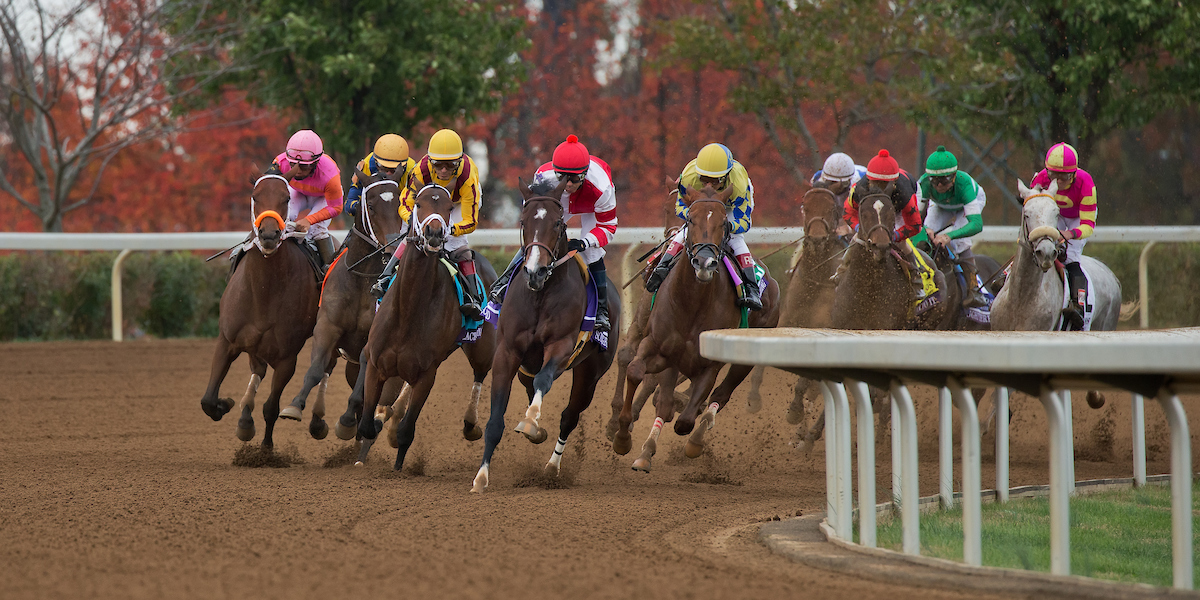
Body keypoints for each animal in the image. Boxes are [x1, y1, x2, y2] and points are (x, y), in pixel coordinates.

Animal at [201, 172, 324, 446]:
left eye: (287, 198)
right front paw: (226, 404)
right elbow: (208, 400)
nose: (269, 235)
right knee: (258, 369)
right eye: (255, 196)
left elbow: (271, 408)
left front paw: (265, 449)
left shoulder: (287, 357)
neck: (264, 291)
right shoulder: (227, 341)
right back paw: (245, 419)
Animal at [278, 168, 410, 436]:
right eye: (370, 205)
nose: (392, 247)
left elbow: (364, 386)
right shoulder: (327, 326)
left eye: (398, 207)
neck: (361, 279)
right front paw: (294, 406)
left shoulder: (372, 339)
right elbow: (315, 369)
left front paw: (347, 420)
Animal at [345, 182, 499, 468]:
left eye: (449, 208)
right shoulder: (375, 363)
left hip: (482, 349)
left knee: (480, 374)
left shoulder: (428, 373)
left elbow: (406, 431)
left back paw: (470, 424)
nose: (435, 234)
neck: (408, 309)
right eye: (418, 203)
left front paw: (397, 460)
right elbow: (367, 424)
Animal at [465, 181, 619, 492]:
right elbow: (495, 422)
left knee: (569, 415)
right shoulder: (507, 353)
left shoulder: (560, 348)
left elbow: (544, 382)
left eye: (558, 223)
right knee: (530, 386)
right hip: (526, 366)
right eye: (523, 222)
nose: (535, 272)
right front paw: (481, 477)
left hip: (590, 373)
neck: (540, 295)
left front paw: (531, 421)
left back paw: (551, 466)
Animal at [614, 183, 782, 472]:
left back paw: (696, 437)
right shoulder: (658, 346)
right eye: (690, 219)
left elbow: (685, 419)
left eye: (724, 222)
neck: (691, 302)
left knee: (720, 395)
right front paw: (623, 437)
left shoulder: (707, 364)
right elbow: (637, 372)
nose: (704, 263)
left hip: (746, 356)